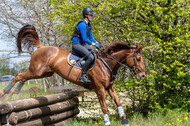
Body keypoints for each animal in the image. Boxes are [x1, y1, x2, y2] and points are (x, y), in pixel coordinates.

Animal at [0, 24, 145, 126]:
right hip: (37, 71)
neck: (106, 64)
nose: (143, 76)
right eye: (138, 59)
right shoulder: (100, 89)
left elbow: (118, 102)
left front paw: (124, 121)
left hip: (44, 73)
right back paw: (6, 94)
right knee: (18, 75)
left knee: (23, 77)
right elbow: (104, 107)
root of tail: (41, 47)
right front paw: (107, 123)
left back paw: (14, 92)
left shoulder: (110, 88)